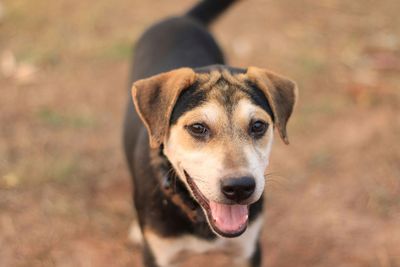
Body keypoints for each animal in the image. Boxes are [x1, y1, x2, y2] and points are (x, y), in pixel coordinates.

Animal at [123, 1, 298, 266]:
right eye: (198, 128)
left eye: (258, 126)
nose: (240, 188)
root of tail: (181, 19)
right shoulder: (159, 254)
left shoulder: (248, 249)